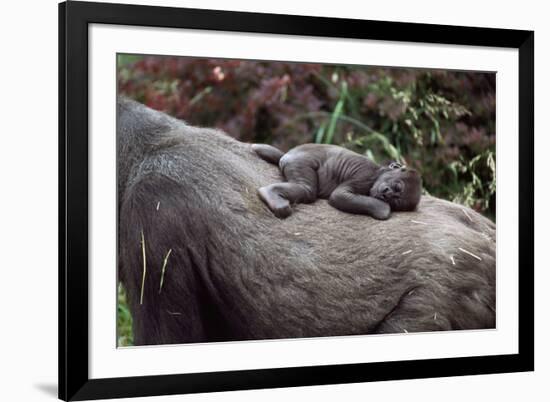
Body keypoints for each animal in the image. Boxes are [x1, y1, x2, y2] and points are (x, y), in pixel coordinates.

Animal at [252, 144, 424, 220]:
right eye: (396, 186)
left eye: (396, 200)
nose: (386, 194)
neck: (379, 171)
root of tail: (286, 154)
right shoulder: (365, 176)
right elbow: (339, 196)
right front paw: (383, 208)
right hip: (298, 161)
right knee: (307, 189)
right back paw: (270, 193)